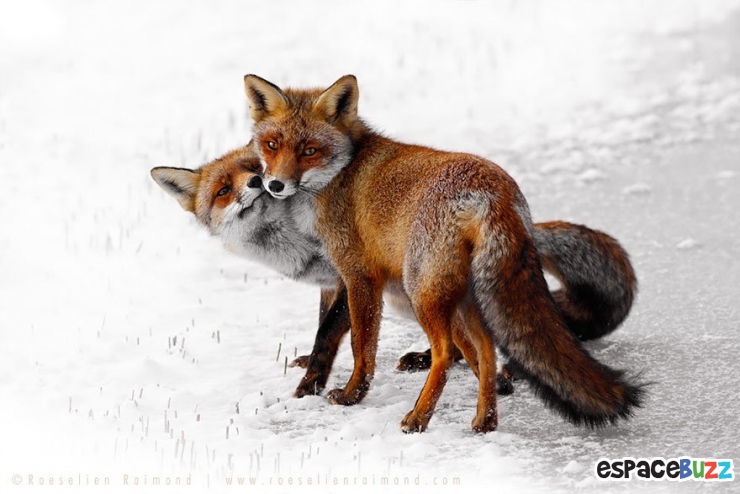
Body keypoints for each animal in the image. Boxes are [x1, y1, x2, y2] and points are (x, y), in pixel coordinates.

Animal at [244, 73, 644, 433]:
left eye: (310, 150)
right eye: (272, 145)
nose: (274, 185)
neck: (341, 176)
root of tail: (494, 192)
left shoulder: (360, 276)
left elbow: (359, 344)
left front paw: (351, 394)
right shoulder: (338, 276)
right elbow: (324, 328)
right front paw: (313, 367)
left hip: (420, 290)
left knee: (446, 353)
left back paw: (419, 416)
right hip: (462, 295)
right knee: (484, 350)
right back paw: (485, 419)